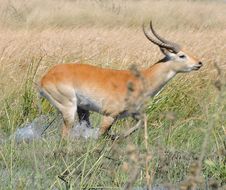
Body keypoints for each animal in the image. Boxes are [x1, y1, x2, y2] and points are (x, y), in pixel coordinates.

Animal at [39, 21, 203, 138]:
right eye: (181, 55)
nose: (199, 63)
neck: (141, 80)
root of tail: (45, 77)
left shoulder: (135, 113)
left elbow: (142, 121)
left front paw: (119, 136)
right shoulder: (110, 115)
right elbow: (101, 134)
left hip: (83, 110)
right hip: (69, 109)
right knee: (65, 135)